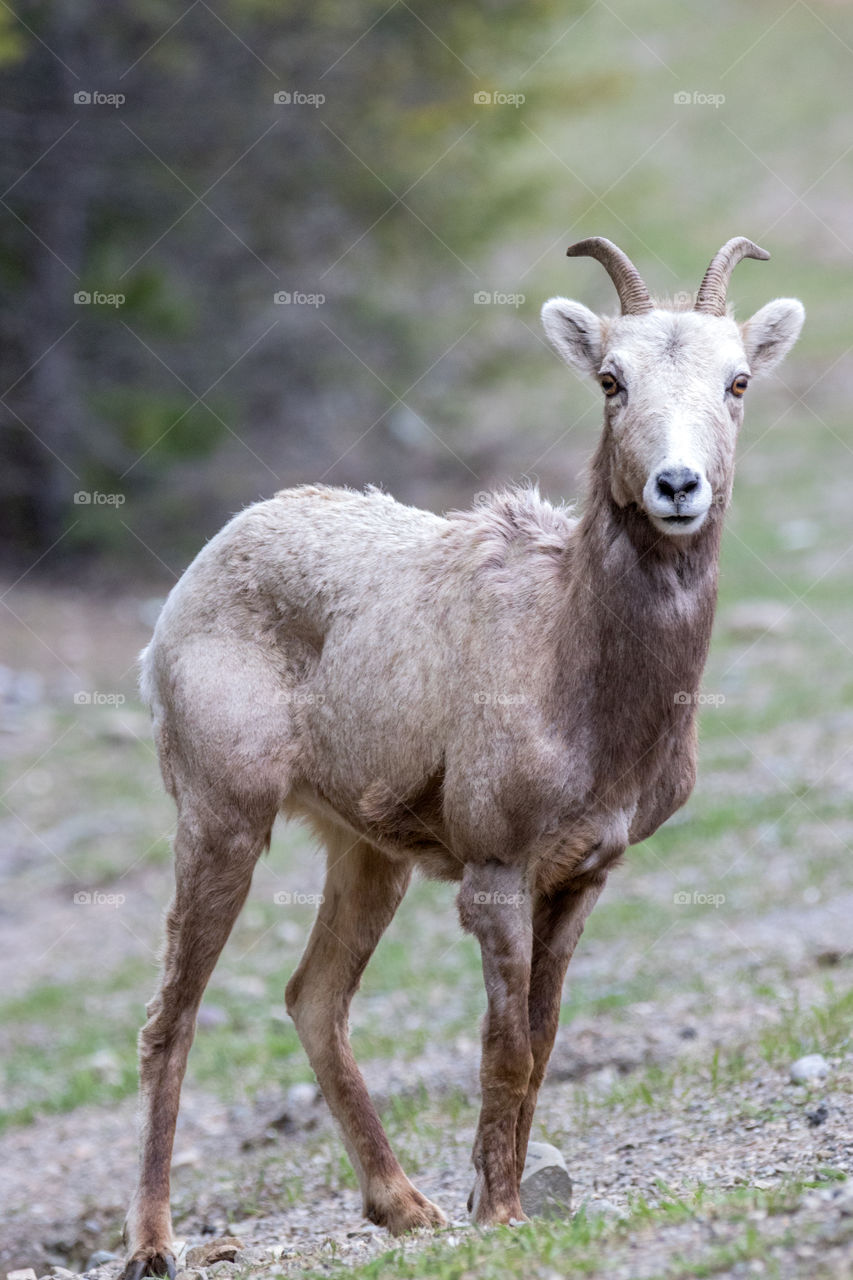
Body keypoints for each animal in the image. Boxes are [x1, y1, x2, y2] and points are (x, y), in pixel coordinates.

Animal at [122, 235, 799, 1274]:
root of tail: (194, 582)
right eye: (611, 380)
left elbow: (543, 1042)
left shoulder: (579, 879)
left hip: (367, 859)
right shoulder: (496, 876)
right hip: (222, 824)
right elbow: (506, 1050)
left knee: (314, 998)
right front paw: (503, 1216)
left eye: (736, 382)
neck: (573, 671)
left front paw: (487, 1199)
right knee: (173, 1017)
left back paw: (405, 1209)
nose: (677, 487)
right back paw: (156, 1245)